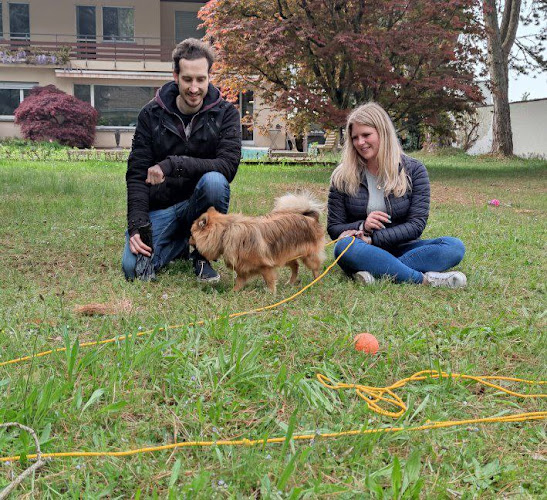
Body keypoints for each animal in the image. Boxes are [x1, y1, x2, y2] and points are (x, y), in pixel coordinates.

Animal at [189, 192, 326, 292]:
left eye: (191, 234)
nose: (188, 240)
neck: (226, 231)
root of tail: (309, 217)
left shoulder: (266, 266)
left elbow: (269, 280)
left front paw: (271, 292)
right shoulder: (242, 267)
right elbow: (239, 281)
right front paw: (234, 291)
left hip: (308, 257)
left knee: (315, 269)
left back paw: (316, 282)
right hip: (286, 254)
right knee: (295, 266)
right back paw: (290, 282)